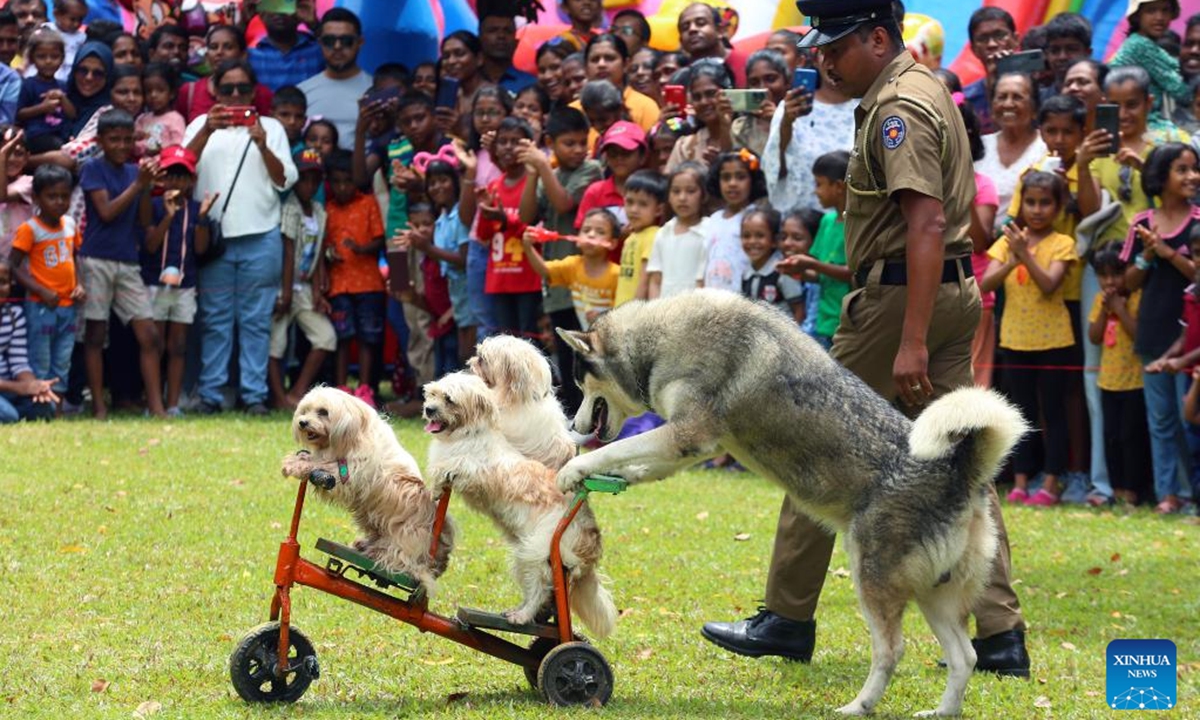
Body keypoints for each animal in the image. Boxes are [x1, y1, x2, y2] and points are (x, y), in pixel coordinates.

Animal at [280, 388, 453, 590]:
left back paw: (380, 554)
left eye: (323, 412)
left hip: (407, 534)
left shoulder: (350, 472)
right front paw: (298, 459)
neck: (354, 431)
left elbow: (324, 464)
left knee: (402, 559)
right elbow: (318, 460)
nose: (302, 422)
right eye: (305, 410)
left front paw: (297, 465)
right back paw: (366, 545)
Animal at [422, 372, 614, 633]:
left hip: (535, 553)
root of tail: (590, 539)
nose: (428, 409)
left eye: (449, 399)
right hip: (526, 557)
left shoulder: (477, 470)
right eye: (431, 393)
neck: (470, 434)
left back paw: (522, 616)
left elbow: (449, 467)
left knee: (542, 588)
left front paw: (436, 487)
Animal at [556, 291, 1027, 715]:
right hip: (934, 593)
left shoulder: (686, 433)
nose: (573, 425)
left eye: (580, 384)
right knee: (965, 657)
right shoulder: (697, 446)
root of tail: (959, 473)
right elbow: (639, 462)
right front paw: (619, 477)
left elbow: (616, 448)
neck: (662, 339)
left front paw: (573, 468)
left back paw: (858, 707)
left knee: (892, 651)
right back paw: (942, 711)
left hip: (872, 578)